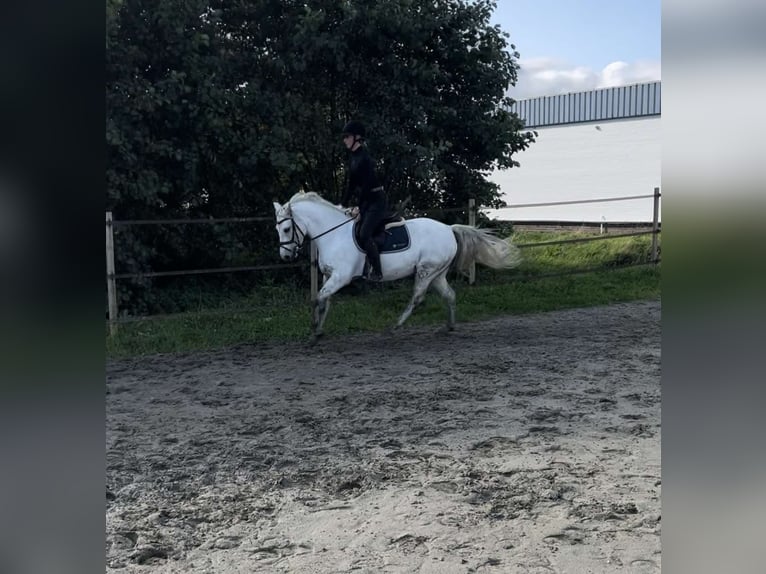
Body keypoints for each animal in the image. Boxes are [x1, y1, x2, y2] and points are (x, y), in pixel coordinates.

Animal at [272, 192, 520, 342]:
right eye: (278, 230)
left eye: (286, 229)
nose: (285, 256)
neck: (333, 234)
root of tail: (449, 229)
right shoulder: (328, 276)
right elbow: (324, 302)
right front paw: (318, 330)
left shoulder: (340, 277)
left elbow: (318, 299)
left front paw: (314, 329)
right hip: (437, 274)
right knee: (449, 295)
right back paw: (449, 326)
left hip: (425, 272)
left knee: (417, 298)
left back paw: (396, 327)